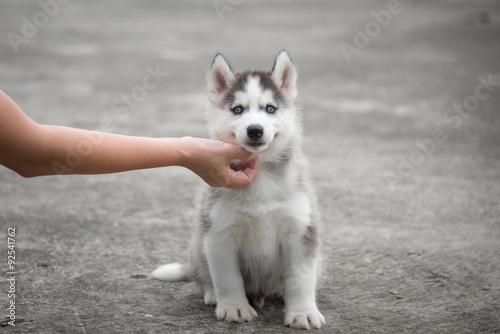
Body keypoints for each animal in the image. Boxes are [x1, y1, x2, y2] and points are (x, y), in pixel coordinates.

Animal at [151, 51, 324, 330]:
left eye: (270, 108)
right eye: (237, 110)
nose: (255, 130)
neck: (261, 177)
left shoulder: (301, 229)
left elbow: (301, 278)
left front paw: (303, 312)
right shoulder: (219, 233)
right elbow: (227, 277)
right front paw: (234, 307)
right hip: (199, 245)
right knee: (204, 276)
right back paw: (212, 293)